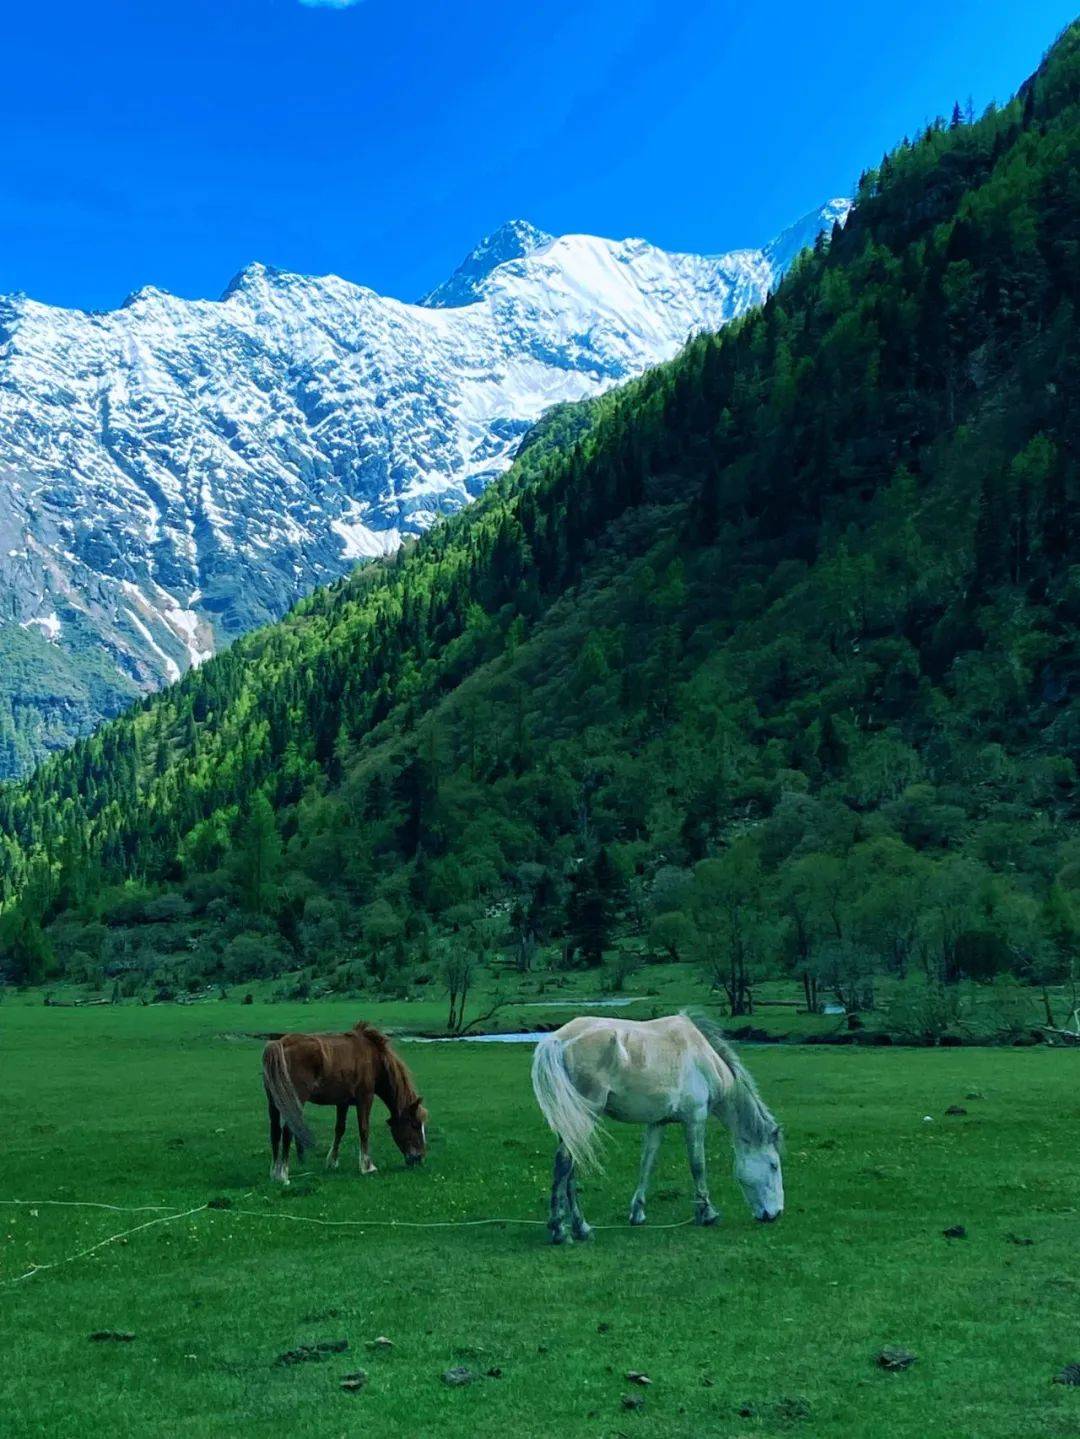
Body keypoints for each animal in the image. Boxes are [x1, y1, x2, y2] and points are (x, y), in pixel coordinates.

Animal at [260, 1018, 425, 1185]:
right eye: (415, 1125)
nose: (419, 1158)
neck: (374, 1058)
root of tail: (281, 1043)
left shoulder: (342, 1102)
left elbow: (339, 1129)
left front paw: (332, 1162)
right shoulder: (365, 1098)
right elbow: (364, 1129)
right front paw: (367, 1166)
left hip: (274, 1101)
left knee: (275, 1130)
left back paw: (274, 1172)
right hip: (295, 1101)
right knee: (288, 1130)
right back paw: (283, 1175)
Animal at [532, 1013, 788, 1237]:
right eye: (774, 1165)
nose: (775, 1214)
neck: (703, 1058)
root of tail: (558, 1040)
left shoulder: (657, 1123)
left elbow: (647, 1164)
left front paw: (637, 1213)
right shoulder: (695, 1119)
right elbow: (698, 1166)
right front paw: (707, 1213)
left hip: (572, 1122)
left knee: (570, 1167)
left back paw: (579, 1227)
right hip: (585, 1118)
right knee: (565, 1163)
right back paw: (560, 1229)